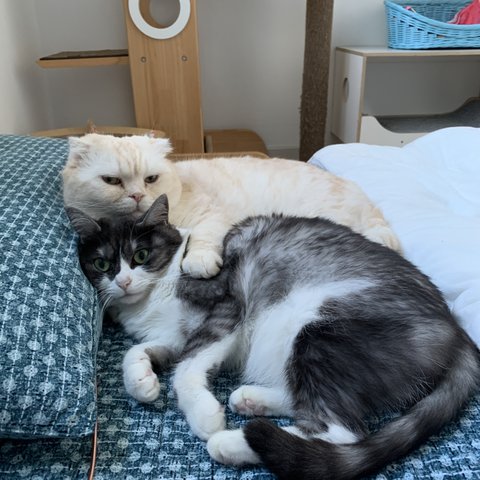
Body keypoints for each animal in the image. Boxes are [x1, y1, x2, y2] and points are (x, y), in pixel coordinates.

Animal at [62, 133, 401, 279]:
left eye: (151, 179)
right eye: (112, 181)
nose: (136, 196)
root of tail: (359, 194)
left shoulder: (211, 216)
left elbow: (202, 238)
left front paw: (198, 261)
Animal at [67, 194, 480, 480]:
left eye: (141, 255)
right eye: (102, 263)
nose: (123, 281)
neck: (151, 301)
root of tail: (456, 330)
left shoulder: (226, 307)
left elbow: (185, 370)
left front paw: (204, 415)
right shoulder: (172, 335)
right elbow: (137, 351)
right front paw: (142, 381)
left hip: (320, 327)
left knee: (341, 430)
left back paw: (235, 441)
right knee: (309, 401)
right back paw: (251, 401)